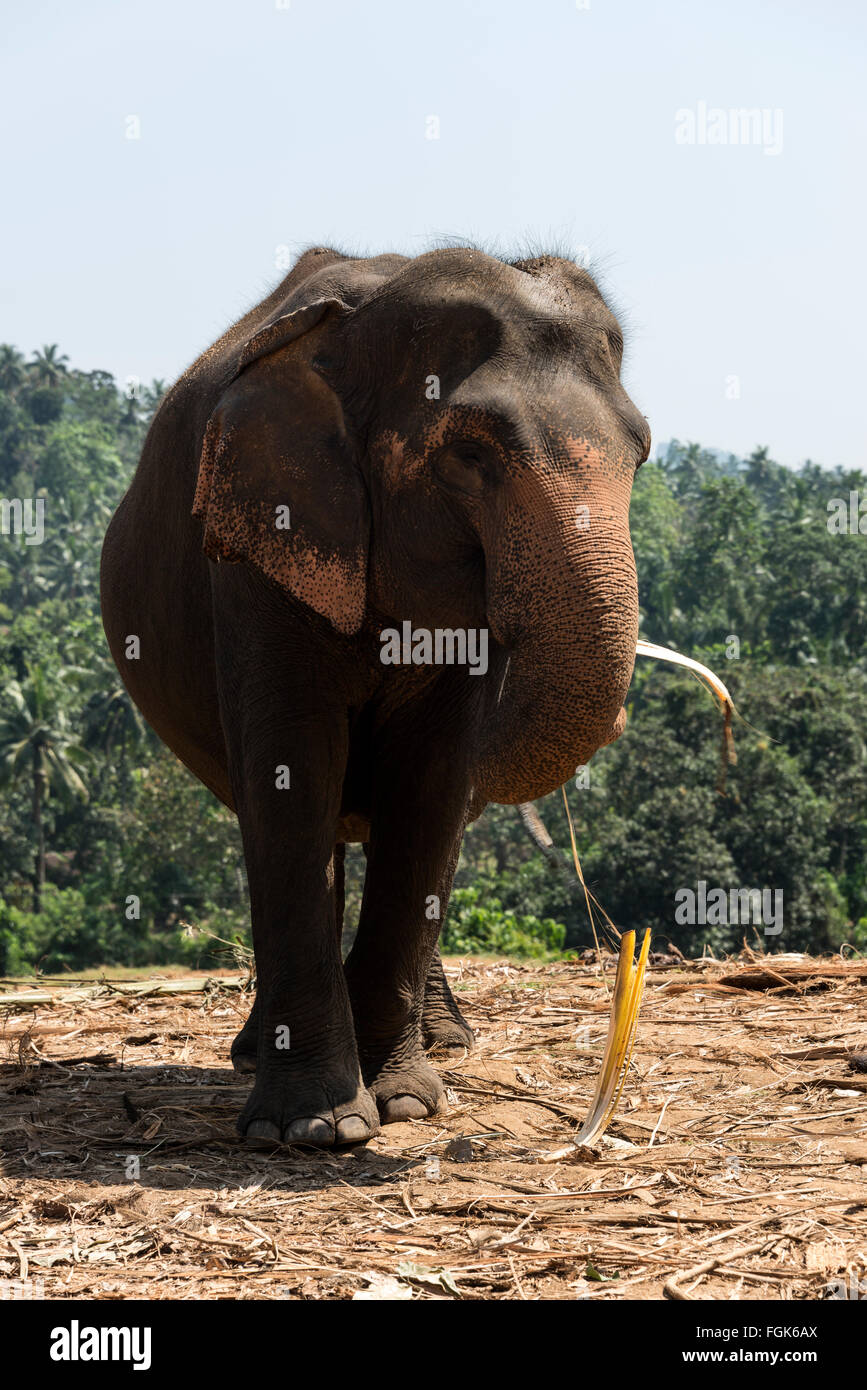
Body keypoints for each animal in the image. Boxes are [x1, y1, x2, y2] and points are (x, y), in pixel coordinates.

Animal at [97, 244, 647, 1145]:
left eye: (640, 453)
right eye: (469, 454)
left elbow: (430, 785)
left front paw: (405, 1103)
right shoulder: (257, 546)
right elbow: (291, 772)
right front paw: (315, 1128)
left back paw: (446, 1042)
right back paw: (256, 1054)